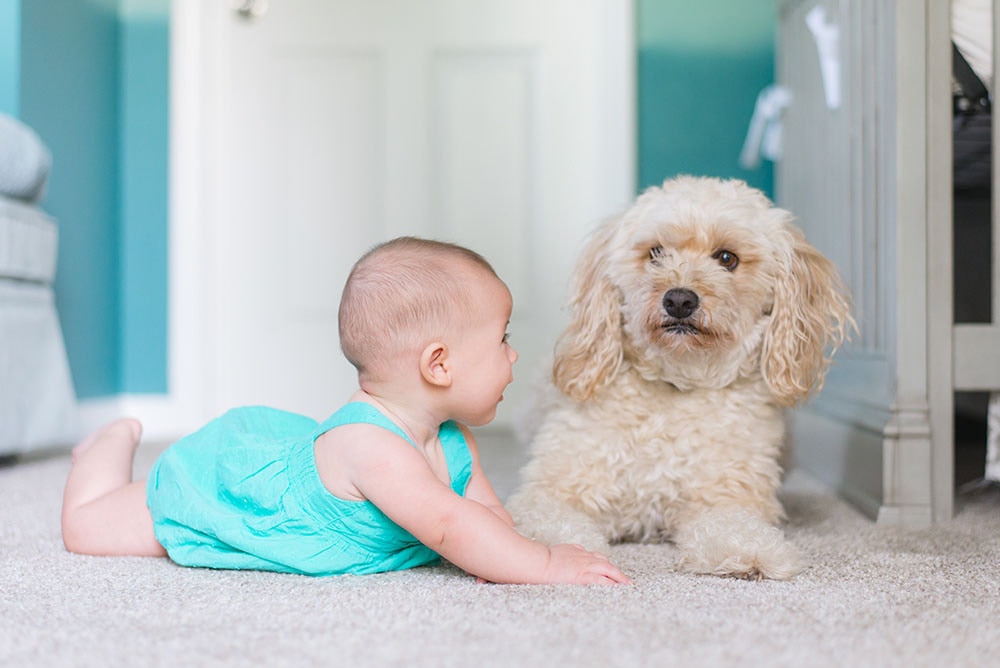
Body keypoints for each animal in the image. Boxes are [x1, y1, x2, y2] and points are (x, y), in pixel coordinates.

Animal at [508, 176, 852, 580]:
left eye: (727, 258)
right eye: (656, 253)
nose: (679, 300)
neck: (677, 383)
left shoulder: (725, 496)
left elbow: (732, 525)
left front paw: (750, 551)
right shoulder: (552, 491)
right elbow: (550, 524)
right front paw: (561, 555)